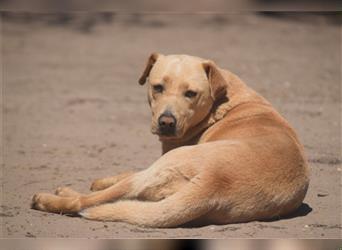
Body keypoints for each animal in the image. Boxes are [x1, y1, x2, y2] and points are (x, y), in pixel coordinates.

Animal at [31, 53, 310, 228]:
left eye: (191, 94)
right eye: (157, 87)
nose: (166, 122)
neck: (220, 102)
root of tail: (211, 185)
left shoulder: (160, 160)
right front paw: (102, 180)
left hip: (168, 163)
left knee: (87, 201)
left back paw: (53, 197)